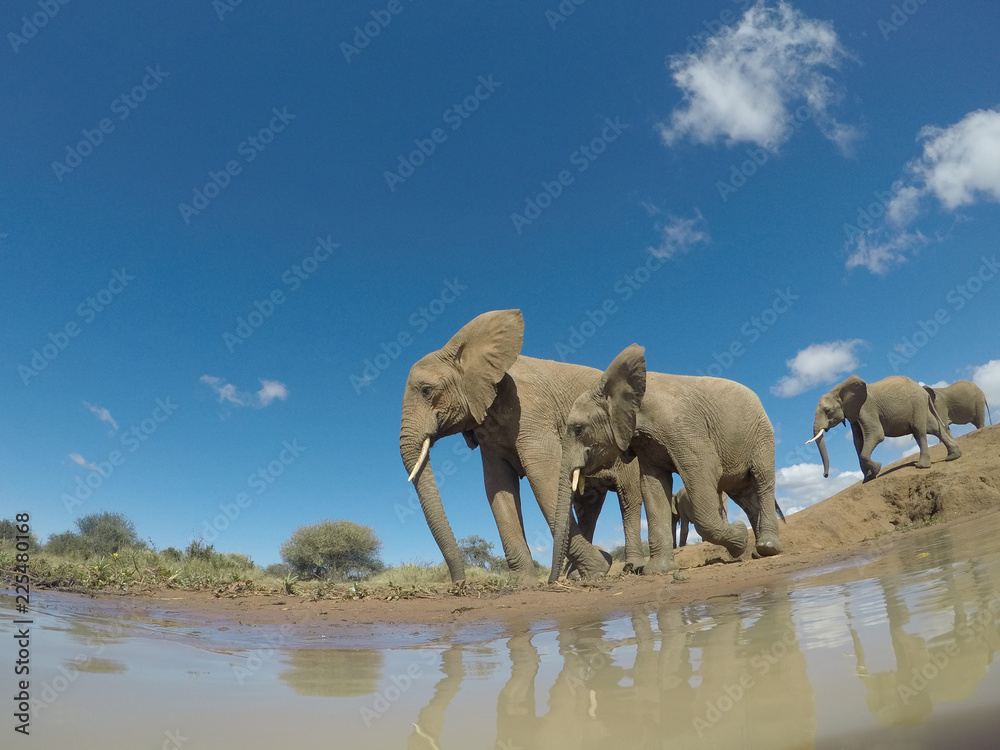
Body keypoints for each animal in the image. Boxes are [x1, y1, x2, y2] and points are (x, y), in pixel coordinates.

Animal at [400, 310, 665, 584]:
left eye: (426, 391)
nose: (460, 582)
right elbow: (498, 486)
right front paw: (521, 582)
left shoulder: (531, 411)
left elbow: (543, 476)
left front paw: (600, 567)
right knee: (587, 506)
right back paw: (575, 575)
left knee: (628, 498)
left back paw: (628, 566)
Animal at [551, 344, 783, 582]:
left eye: (578, 430)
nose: (553, 582)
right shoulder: (646, 444)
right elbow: (653, 487)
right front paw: (658, 570)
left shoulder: (682, 426)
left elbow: (703, 471)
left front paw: (738, 536)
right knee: (745, 495)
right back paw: (758, 551)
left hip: (762, 435)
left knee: (762, 482)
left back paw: (767, 548)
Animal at [807, 374, 962, 482]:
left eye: (827, 411)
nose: (825, 475)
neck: (838, 390)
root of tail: (923, 390)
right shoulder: (854, 415)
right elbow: (858, 442)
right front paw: (868, 478)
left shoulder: (866, 407)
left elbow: (876, 435)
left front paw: (877, 468)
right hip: (920, 404)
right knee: (933, 427)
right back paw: (954, 456)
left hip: (917, 403)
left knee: (919, 431)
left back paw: (922, 466)